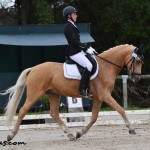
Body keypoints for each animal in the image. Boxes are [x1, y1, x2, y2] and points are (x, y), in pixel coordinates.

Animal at [1, 44, 144, 141]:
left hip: (54, 94)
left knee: (54, 113)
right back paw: (10, 135)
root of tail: (33, 68)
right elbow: (121, 110)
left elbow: (94, 118)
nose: (137, 78)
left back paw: (70, 134)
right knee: (23, 111)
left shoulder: (98, 98)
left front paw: (80, 133)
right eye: (137, 61)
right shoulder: (105, 95)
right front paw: (131, 129)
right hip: (35, 94)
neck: (106, 67)